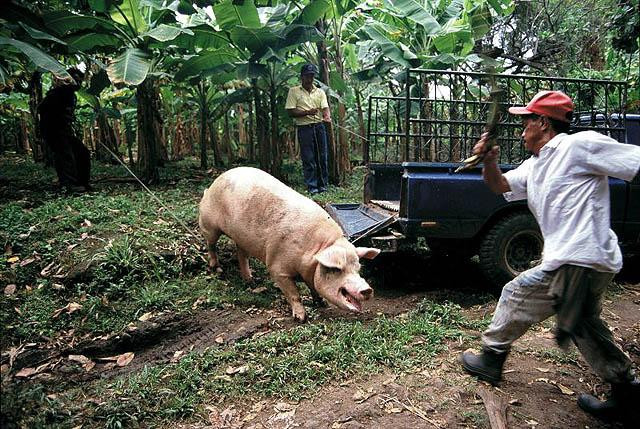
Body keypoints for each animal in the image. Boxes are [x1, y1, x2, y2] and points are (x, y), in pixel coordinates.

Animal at [199, 166, 380, 320]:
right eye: (337, 269)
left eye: (358, 268)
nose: (367, 289)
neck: (314, 252)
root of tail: (213, 184)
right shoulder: (277, 267)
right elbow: (294, 293)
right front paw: (301, 318)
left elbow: (313, 288)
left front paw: (321, 304)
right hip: (209, 225)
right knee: (211, 244)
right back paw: (216, 268)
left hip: (241, 238)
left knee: (241, 254)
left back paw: (251, 281)